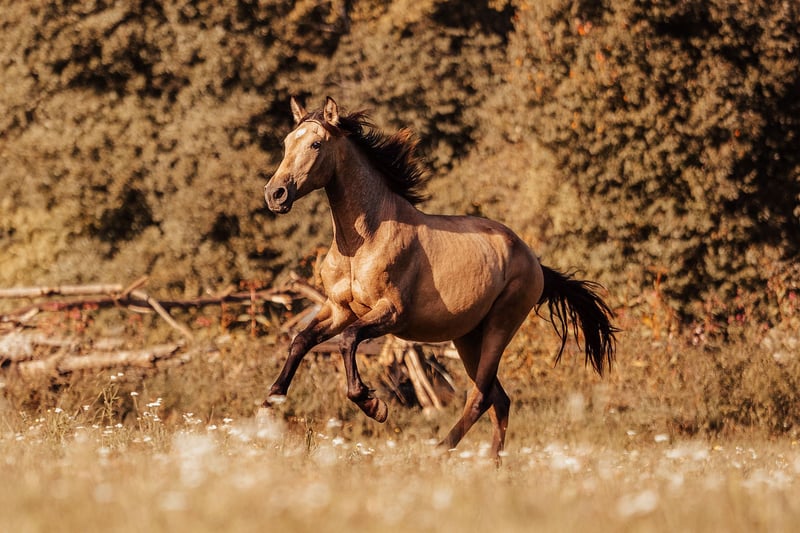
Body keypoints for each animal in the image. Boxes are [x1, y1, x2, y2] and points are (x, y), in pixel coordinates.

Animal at [262, 96, 617, 458]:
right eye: (287, 142)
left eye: (316, 144)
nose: (275, 194)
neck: (362, 242)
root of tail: (535, 262)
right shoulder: (338, 309)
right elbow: (301, 340)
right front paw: (270, 402)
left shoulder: (391, 313)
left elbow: (348, 341)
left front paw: (373, 405)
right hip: (469, 337)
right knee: (499, 400)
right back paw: (493, 463)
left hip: (500, 327)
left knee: (481, 397)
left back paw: (440, 450)